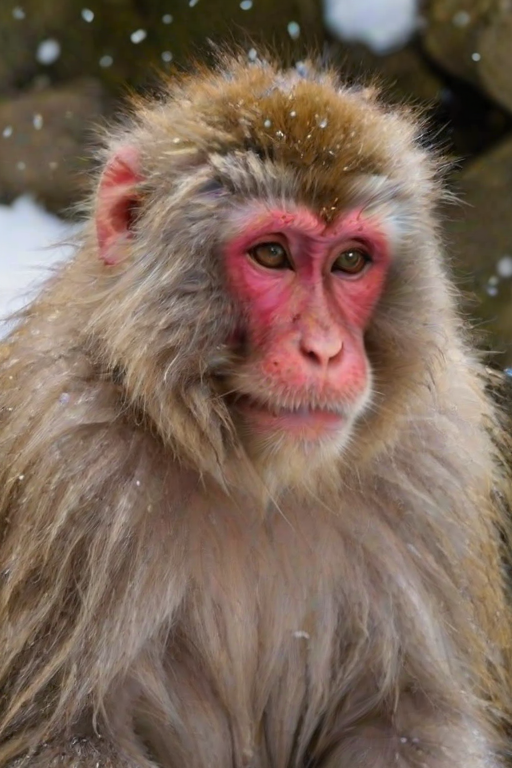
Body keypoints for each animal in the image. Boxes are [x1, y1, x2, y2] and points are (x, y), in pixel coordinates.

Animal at [0, 51, 511, 768]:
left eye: (351, 261)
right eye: (272, 254)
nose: (324, 349)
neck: (258, 479)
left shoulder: (437, 467)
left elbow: (412, 722)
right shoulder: (65, 462)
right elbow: (65, 731)